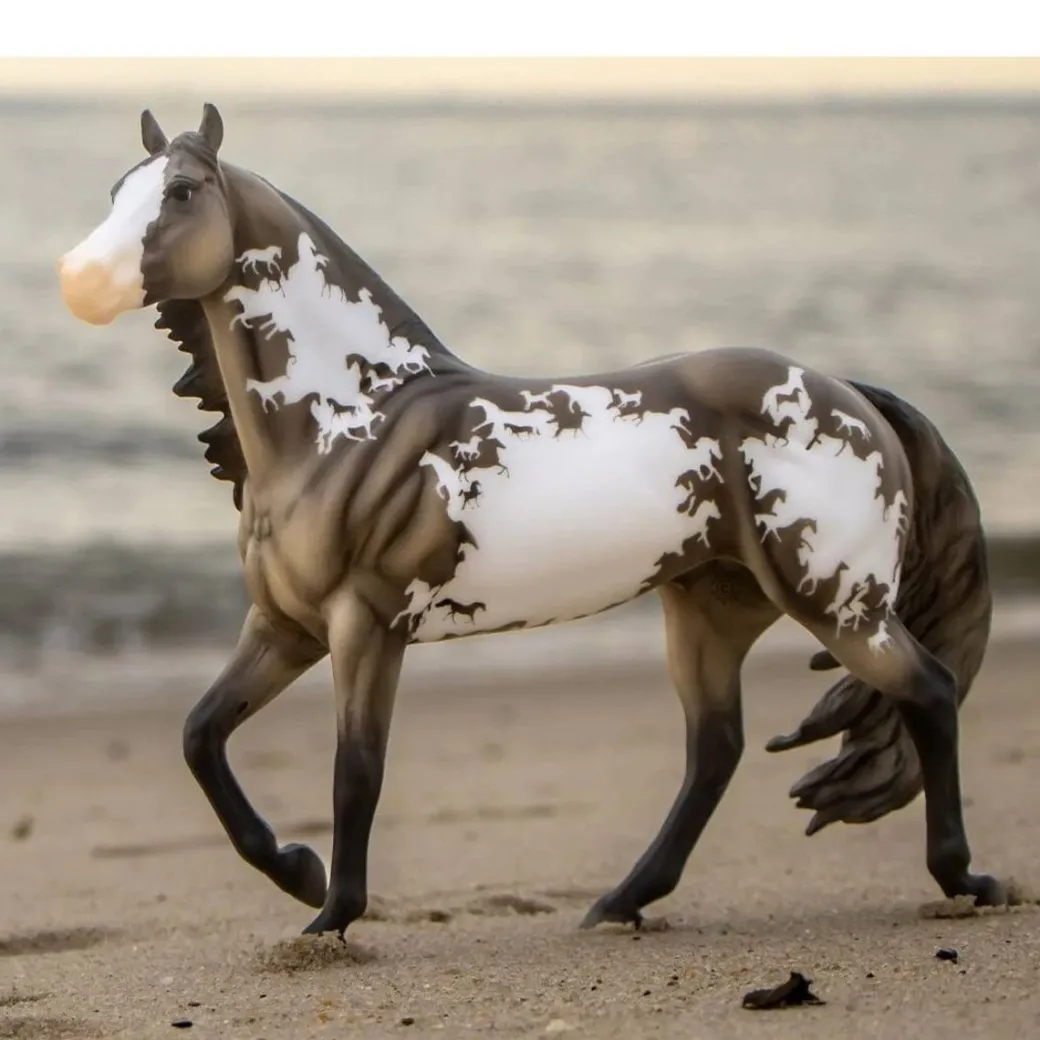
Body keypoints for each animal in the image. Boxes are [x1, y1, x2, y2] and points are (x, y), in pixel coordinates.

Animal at [56, 103, 1002, 939]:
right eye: (116, 189)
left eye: (181, 192)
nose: (79, 282)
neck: (348, 425)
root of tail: (858, 397)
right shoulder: (286, 626)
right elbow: (201, 736)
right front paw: (298, 871)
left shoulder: (365, 625)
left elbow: (355, 771)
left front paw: (330, 914)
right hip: (714, 603)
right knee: (716, 750)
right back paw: (620, 902)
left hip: (837, 603)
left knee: (928, 692)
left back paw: (964, 879)